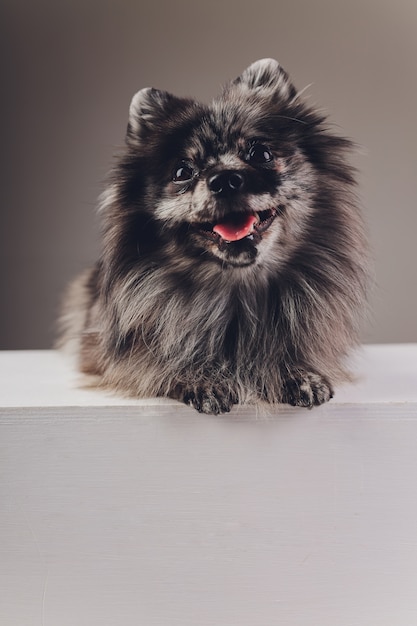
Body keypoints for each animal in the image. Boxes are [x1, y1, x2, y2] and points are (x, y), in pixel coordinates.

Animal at [57, 57, 368, 410]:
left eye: (260, 153)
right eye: (182, 171)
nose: (225, 179)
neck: (237, 287)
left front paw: (298, 372)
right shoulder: (106, 351)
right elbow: (156, 361)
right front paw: (199, 377)